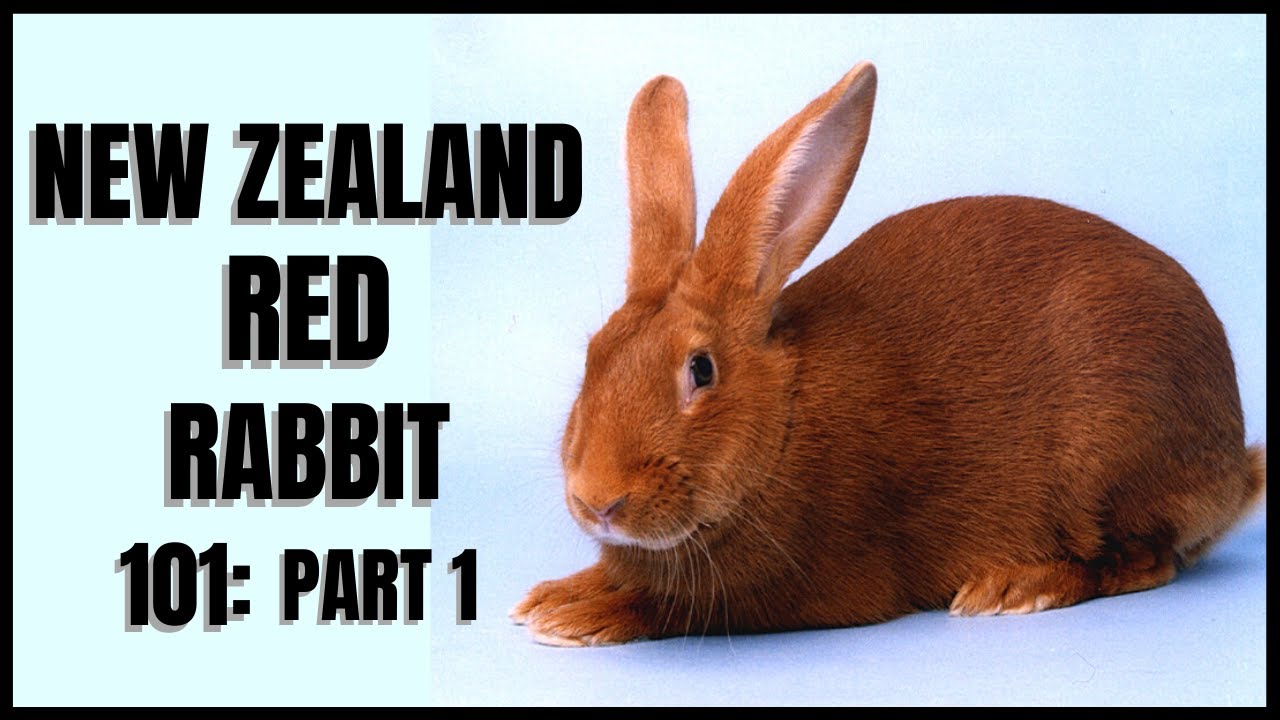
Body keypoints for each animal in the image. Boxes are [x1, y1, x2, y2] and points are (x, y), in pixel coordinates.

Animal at [510, 61, 1266, 647]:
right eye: (594, 354)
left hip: (1109, 459)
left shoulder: (793, 585)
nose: (597, 500)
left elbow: (671, 606)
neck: (783, 423)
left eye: (701, 370)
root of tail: (1234, 469)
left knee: (1141, 561)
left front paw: (578, 619)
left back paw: (1013, 586)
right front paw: (550, 596)